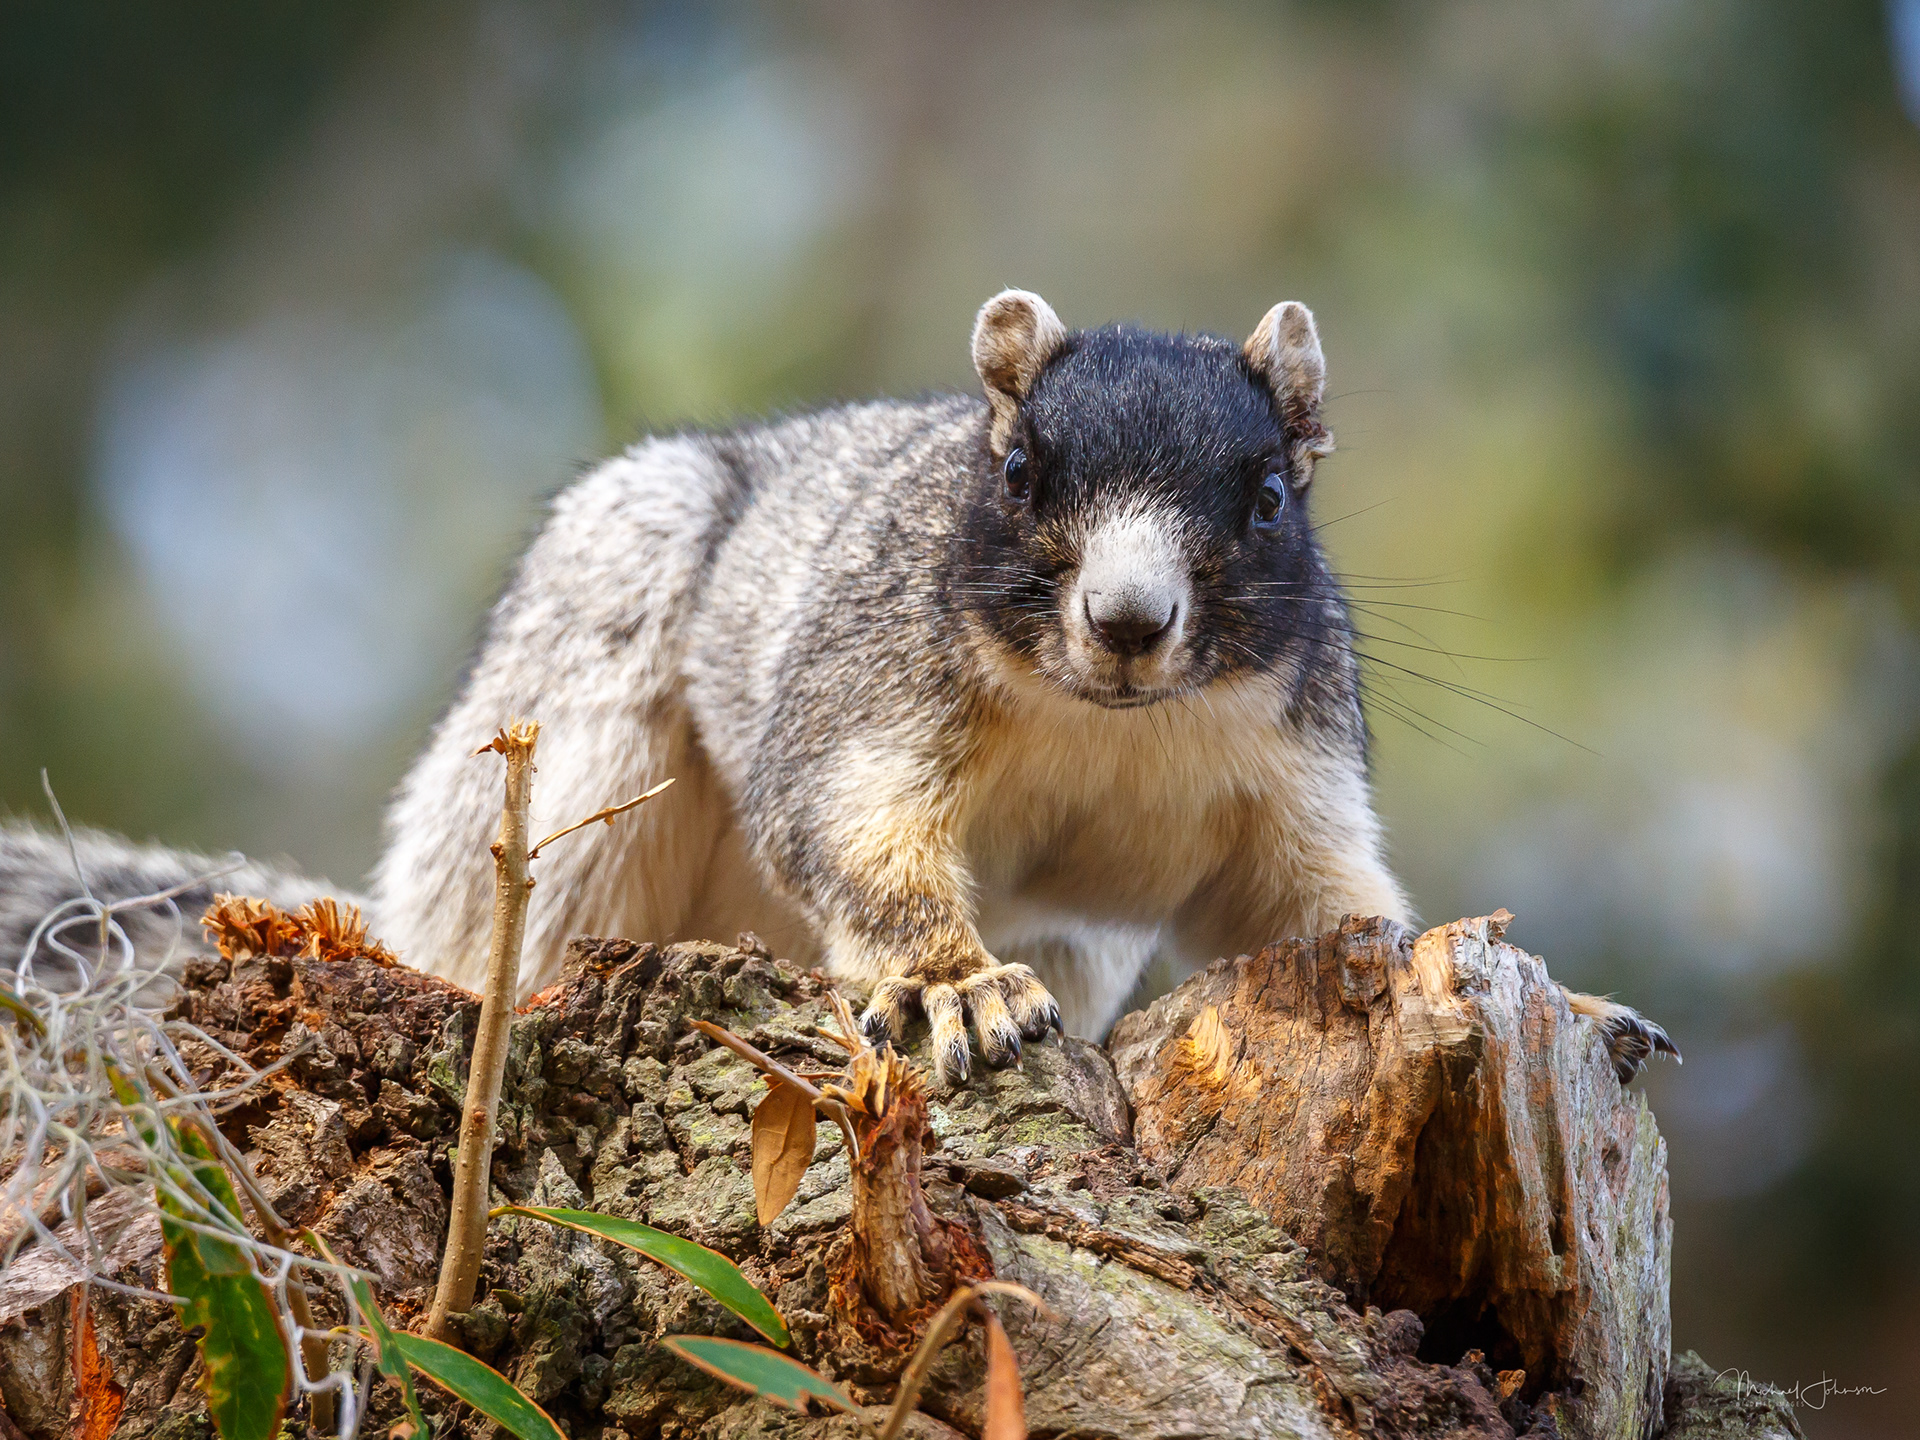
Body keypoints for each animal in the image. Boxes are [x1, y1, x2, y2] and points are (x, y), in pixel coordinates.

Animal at [1, 290, 1676, 1085]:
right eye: (1019, 470)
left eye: (1271, 496)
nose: (1132, 621)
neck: (1105, 726)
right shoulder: (868, 698)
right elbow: (860, 832)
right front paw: (949, 988)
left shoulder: (1285, 781)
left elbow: (1319, 914)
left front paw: (1562, 996)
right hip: (570, 730)